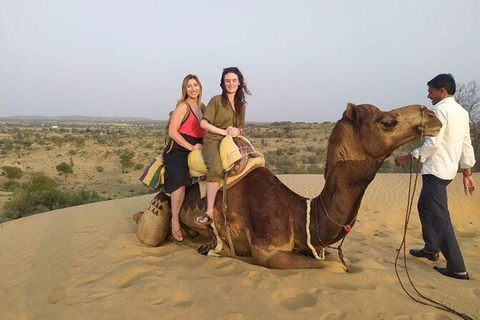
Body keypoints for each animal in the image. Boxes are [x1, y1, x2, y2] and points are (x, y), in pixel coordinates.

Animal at [133, 104, 440, 268]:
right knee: (149, 231)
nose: (432, 117)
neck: (300, 213)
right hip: (161, 202)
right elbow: (330, 267)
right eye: (388, 122)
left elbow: (329, 257)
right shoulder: (269, 251)